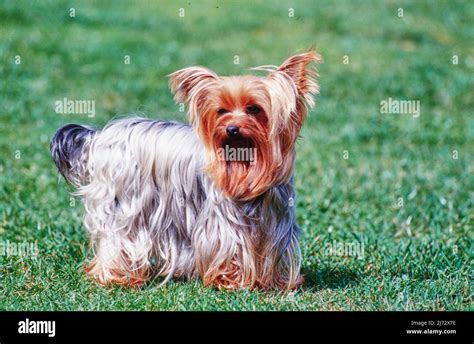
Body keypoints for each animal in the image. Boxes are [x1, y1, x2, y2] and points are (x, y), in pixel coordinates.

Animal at [51, 49, 318, 288]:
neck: (245, 165)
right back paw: (115, 277)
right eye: (221, 111)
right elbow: (228, 246)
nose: (232, 129)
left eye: (254, 109)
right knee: (117, 239)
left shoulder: (275, 221)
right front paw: (230, 281)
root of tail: (100, 136)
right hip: (123, 204)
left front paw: (274, 283)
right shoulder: (221, 221)